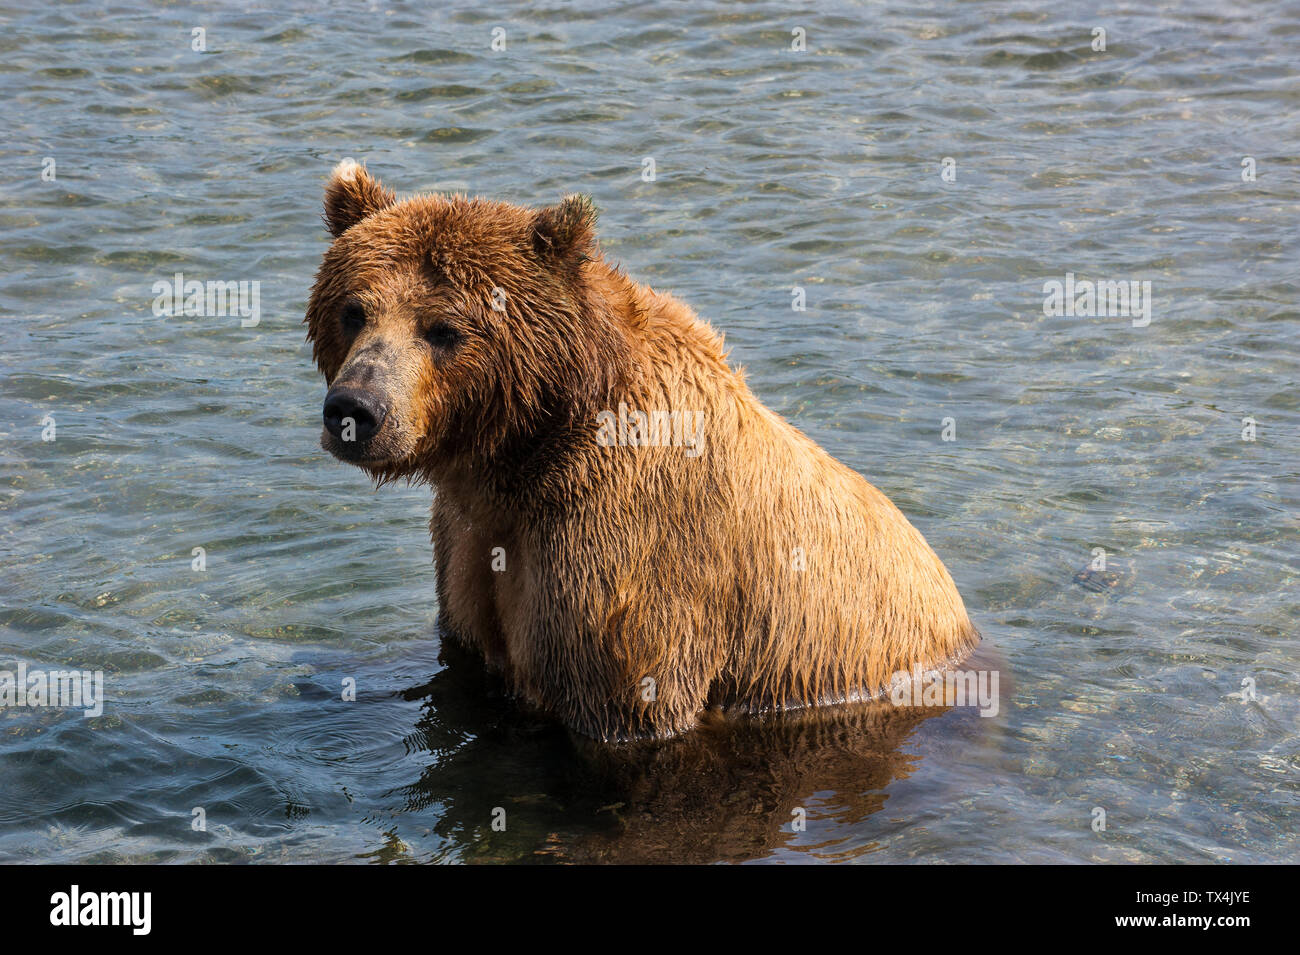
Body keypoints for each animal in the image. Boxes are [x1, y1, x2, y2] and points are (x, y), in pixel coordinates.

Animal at [304, 158, 977, 738]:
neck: (521, 452)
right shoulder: (467, 543)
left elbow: (630, 706)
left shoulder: (623, 554)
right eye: (354, 310)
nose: (355, 409)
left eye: (443, 328)